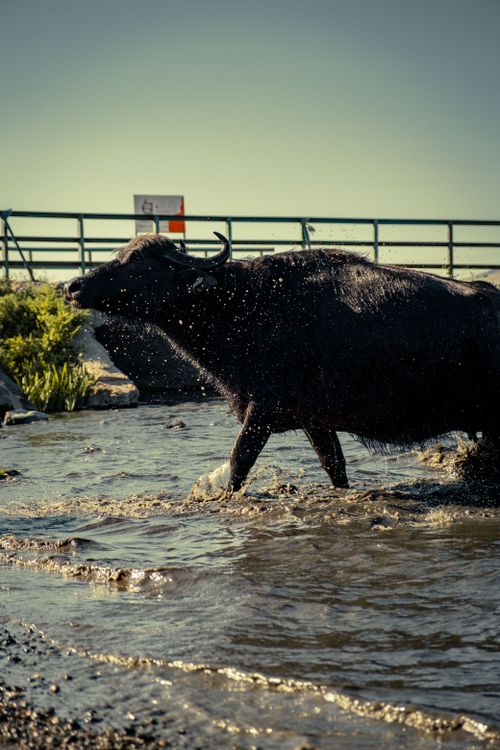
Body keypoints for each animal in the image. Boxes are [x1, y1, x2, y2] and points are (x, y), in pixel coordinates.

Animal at [64, 233, 500, 492]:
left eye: (140, 262)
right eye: (119, 254)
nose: (72, 285)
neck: (244, 306)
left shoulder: (262, 410)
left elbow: (238, 462)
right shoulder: (315, 422)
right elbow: (334, 467)